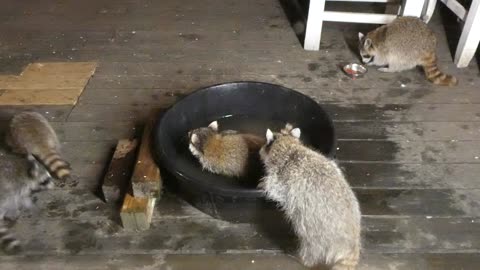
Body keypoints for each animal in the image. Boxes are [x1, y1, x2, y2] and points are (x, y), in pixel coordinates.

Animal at [258, 124, 360, 270]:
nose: (259, 151)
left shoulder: (281, 179)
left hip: (314, 229)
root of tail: (351, 244)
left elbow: (275, 190)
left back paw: (304, 259)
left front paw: (263, 184)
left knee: (311, 246)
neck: (289, 147)